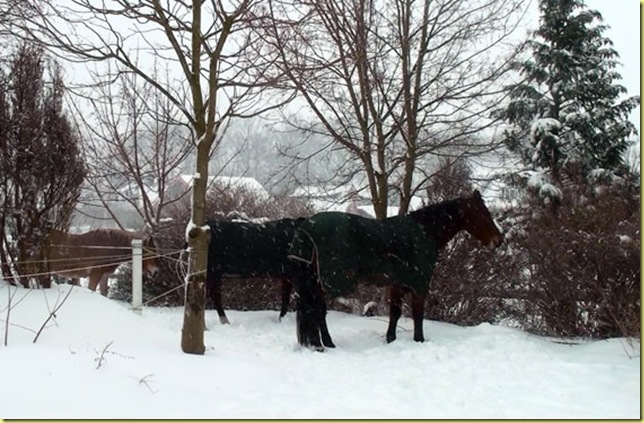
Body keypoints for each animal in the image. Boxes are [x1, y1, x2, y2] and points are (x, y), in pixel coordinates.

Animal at [286, 190, 504, 350]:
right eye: (482, 213)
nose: (499, 241)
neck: (424, 232)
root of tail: (307, 227)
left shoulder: (398, 284)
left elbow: (395, 313)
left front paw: (391, 339)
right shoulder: (419, 285)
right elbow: (417, 315)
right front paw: (419, 340)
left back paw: (325, 343)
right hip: (325, 281)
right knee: (316, 309)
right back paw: (322, 344)